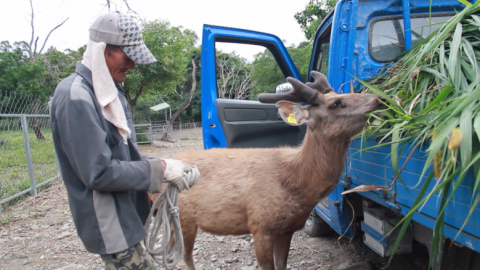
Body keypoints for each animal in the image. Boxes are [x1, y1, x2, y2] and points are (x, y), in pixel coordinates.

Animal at [154, 71, 386, 270]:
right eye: (335, 104)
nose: (378, 99)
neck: (294, 182)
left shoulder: (287, 228)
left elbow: (282, 264)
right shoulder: (260, 225)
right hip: (184, 217)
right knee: (184, 257)